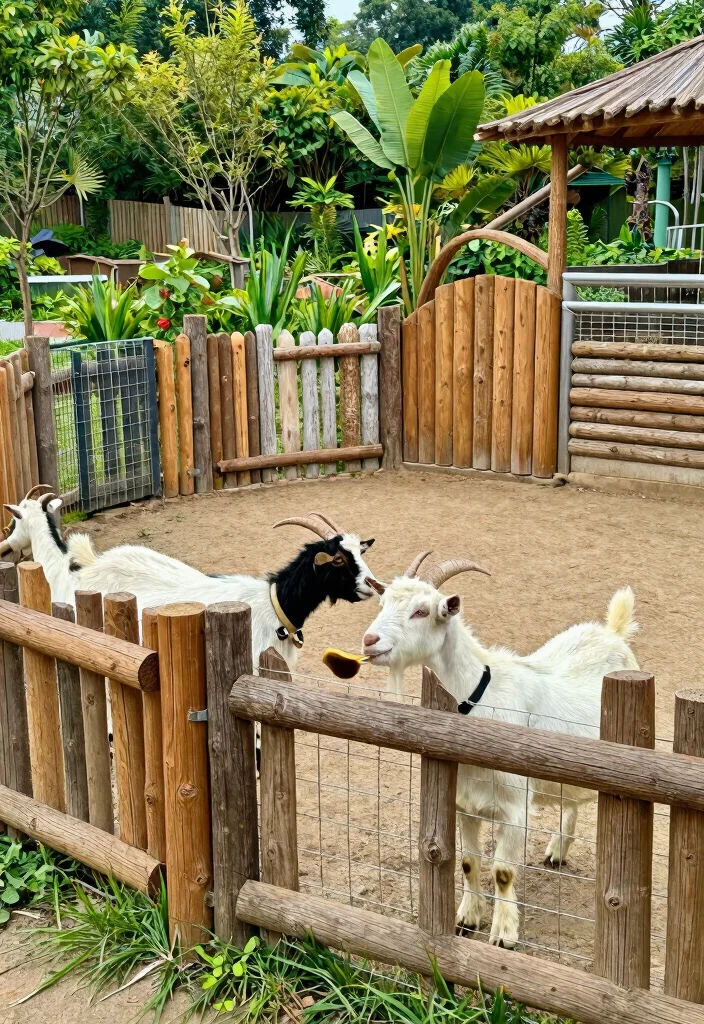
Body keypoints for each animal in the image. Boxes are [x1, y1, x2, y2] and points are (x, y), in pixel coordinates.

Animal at [361, 553, 639, 949]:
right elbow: (468, 862)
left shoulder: (515, 809)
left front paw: (503, 934)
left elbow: (504, 872)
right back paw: (557, 851)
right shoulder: (464, 803)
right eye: (382, 603)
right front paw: (466, 918)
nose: (369, 640)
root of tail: (613, 633)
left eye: (421, 611)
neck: (482, 696)